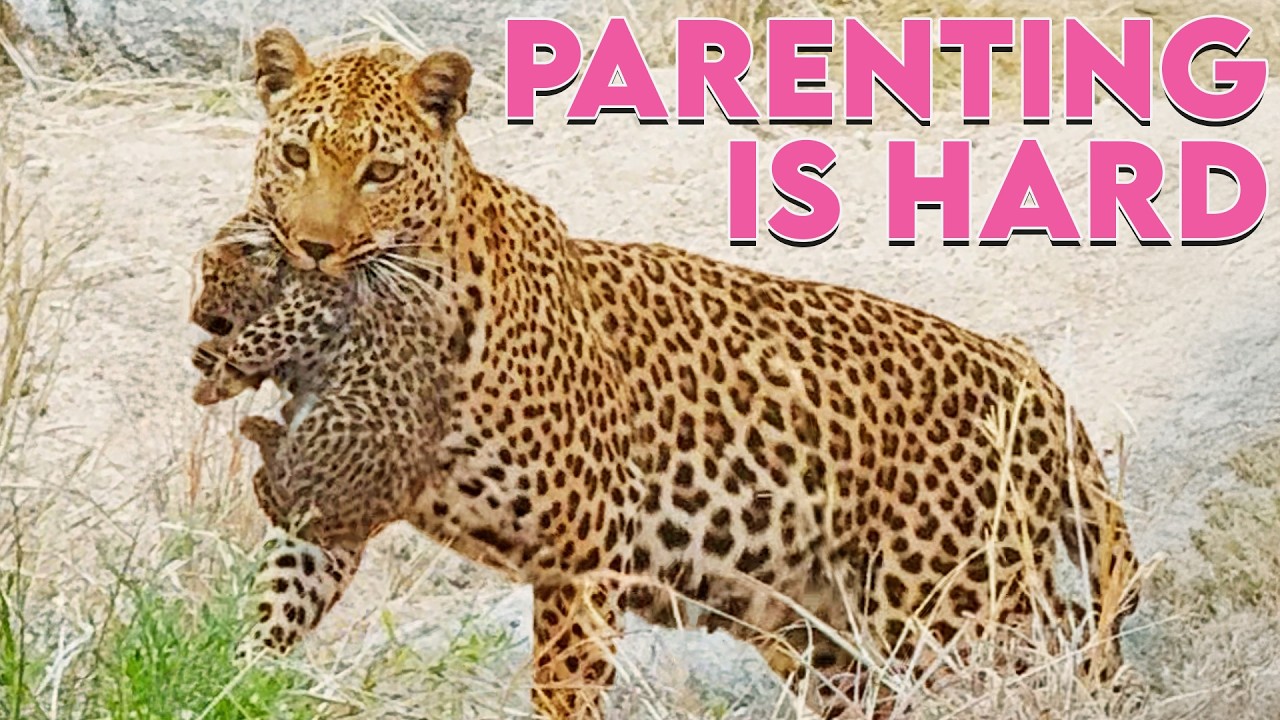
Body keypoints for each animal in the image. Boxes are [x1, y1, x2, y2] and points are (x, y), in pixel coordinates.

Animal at [192, 27, 1143, 719]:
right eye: (296, 157)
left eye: (379, 170)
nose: (314, 248)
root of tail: (1030, 373)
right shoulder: (328, 500)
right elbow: (271, 609)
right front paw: (231, 685)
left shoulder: (581, 550)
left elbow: (564, 686)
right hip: (833, 631)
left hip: (957, 603)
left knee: (1056, 664)